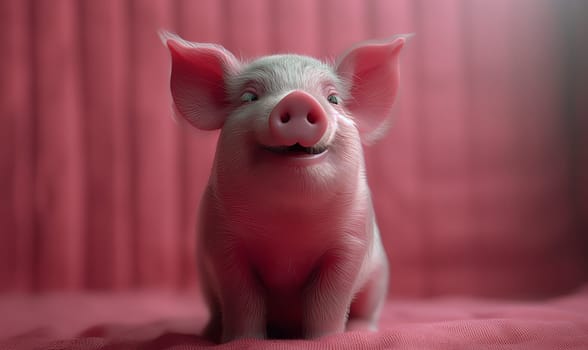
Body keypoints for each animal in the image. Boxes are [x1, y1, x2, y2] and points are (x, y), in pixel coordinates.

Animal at [160, 30, 408, 342]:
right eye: (249, 97)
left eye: (333, 99)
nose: (298, 99)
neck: (288, 229)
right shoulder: (223, 244)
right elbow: (242, 297)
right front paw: (243, 341)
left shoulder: (350, 244)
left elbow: (328, 299)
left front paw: (324, 340)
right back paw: (210, 334)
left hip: (378, 280)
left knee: (366, 310)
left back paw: (360, 330)